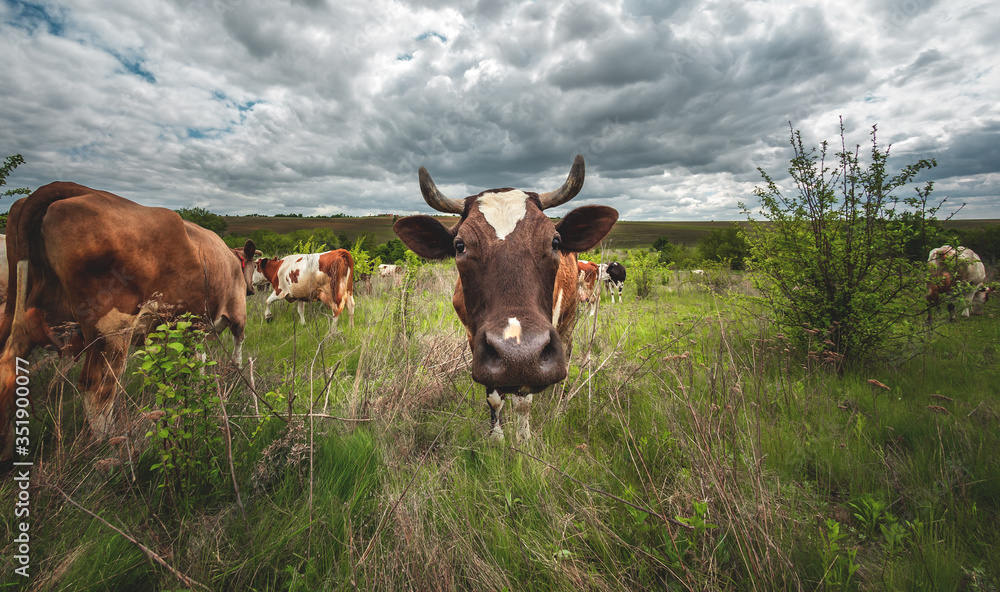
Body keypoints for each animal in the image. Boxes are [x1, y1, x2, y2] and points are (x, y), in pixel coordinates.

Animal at [0, 183, 258, 460]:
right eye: (254, 266)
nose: (253, 289)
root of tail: (82, 191)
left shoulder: (187, 327)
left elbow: (192, 361)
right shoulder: (235, 311)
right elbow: (236, 347)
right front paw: (234, 375)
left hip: (26, 314)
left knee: (9, 369)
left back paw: (7, 449)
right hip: (110, 328)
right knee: (98, 385)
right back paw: (109, 443)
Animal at [392, 155, 616, 442]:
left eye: (555, 242)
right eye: (459, 246)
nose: (519, 355)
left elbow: (523, 400)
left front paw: (523, 439)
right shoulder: (475, 339)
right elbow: (494, 397)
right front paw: (496, 437)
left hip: (569, 321)